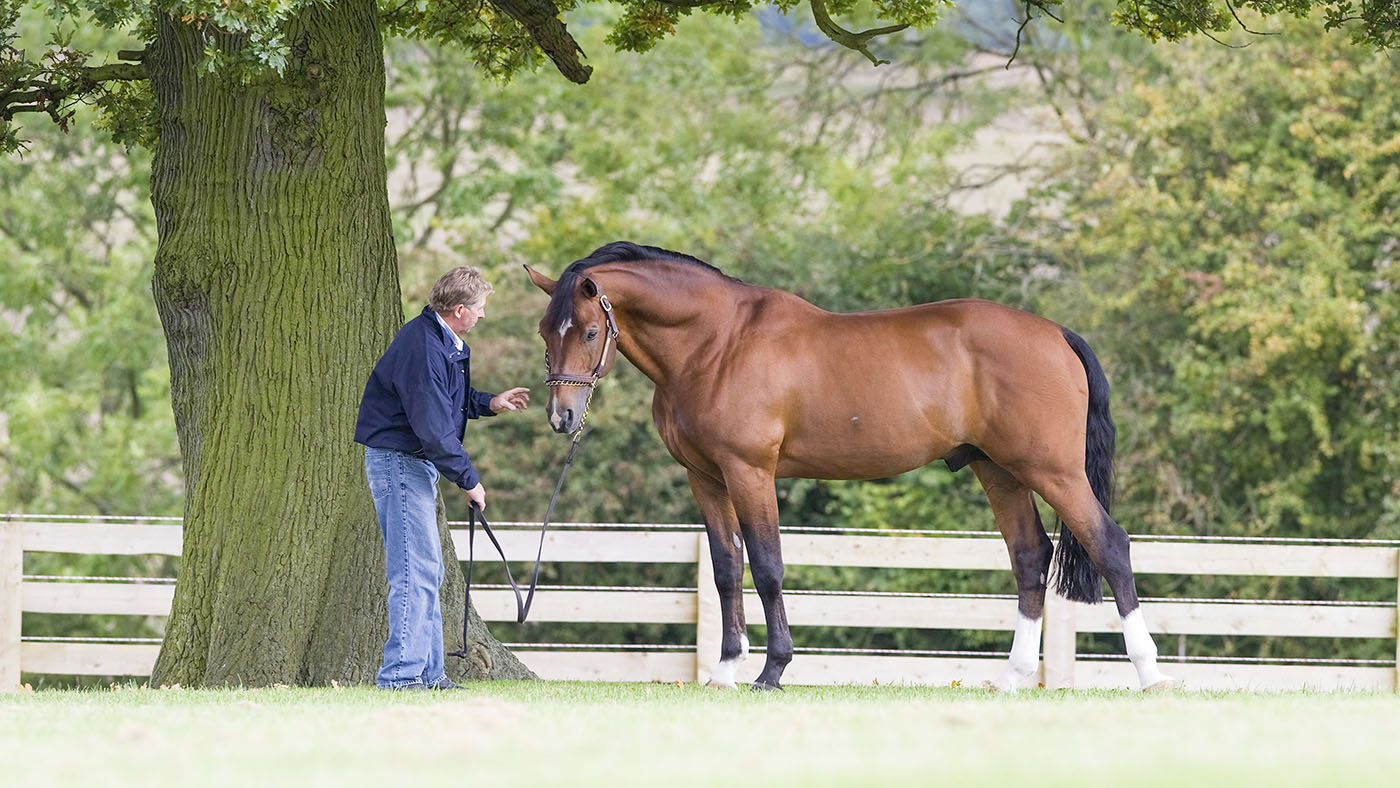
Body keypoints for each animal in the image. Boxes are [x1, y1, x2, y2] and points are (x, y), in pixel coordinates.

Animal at [526, 240, 1181, 691]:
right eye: (544, 331)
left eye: (589, 331)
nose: (561, 416)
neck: (716, 344)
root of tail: (1055, 334)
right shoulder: (706, 477)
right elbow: (726, 569)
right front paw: (727, 670)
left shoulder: (749, 472)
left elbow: (767, 566)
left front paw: (772, 671)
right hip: (1000, 472)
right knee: (1029, 558)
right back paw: (1011, 677)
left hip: (1054, 471)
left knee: (1110, 544)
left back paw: (1150, 674)